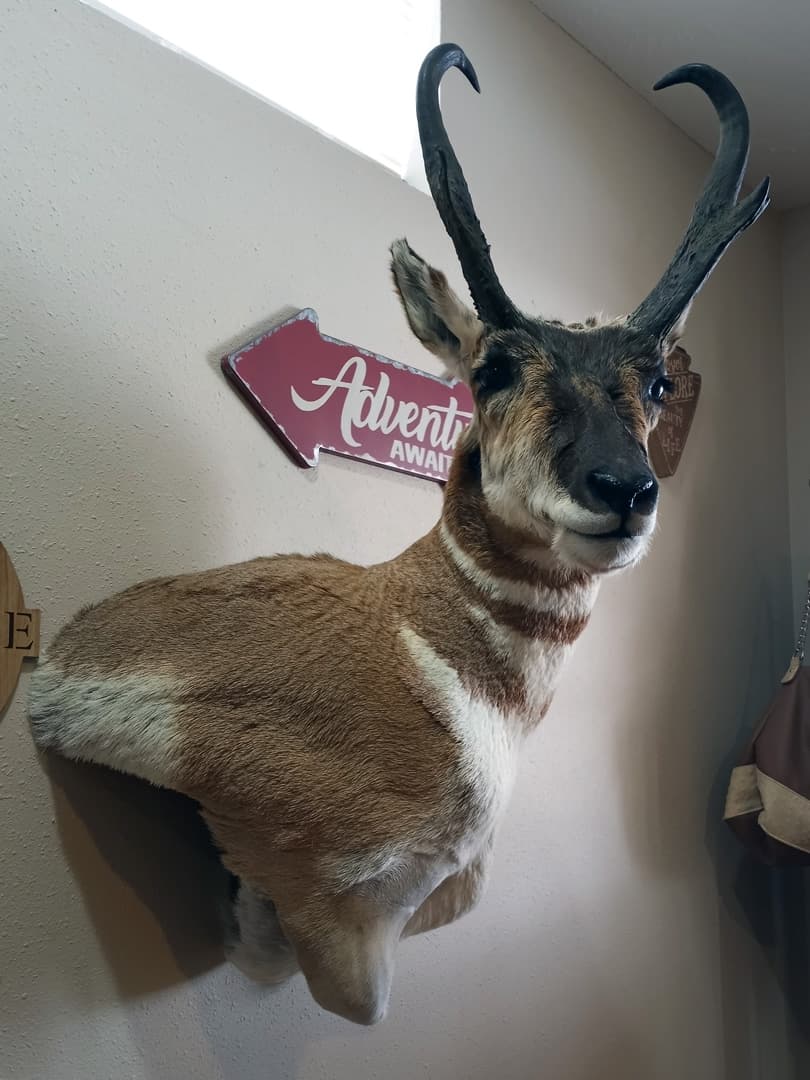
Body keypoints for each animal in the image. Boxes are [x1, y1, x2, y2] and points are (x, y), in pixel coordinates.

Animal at [28, 44, 769, 1025]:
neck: (427, 650)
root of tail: (67, 650)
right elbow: (348, 990)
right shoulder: (342, 902)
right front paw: (244, 913)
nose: (625, 489)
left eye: (654, 384)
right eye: (492, 368)